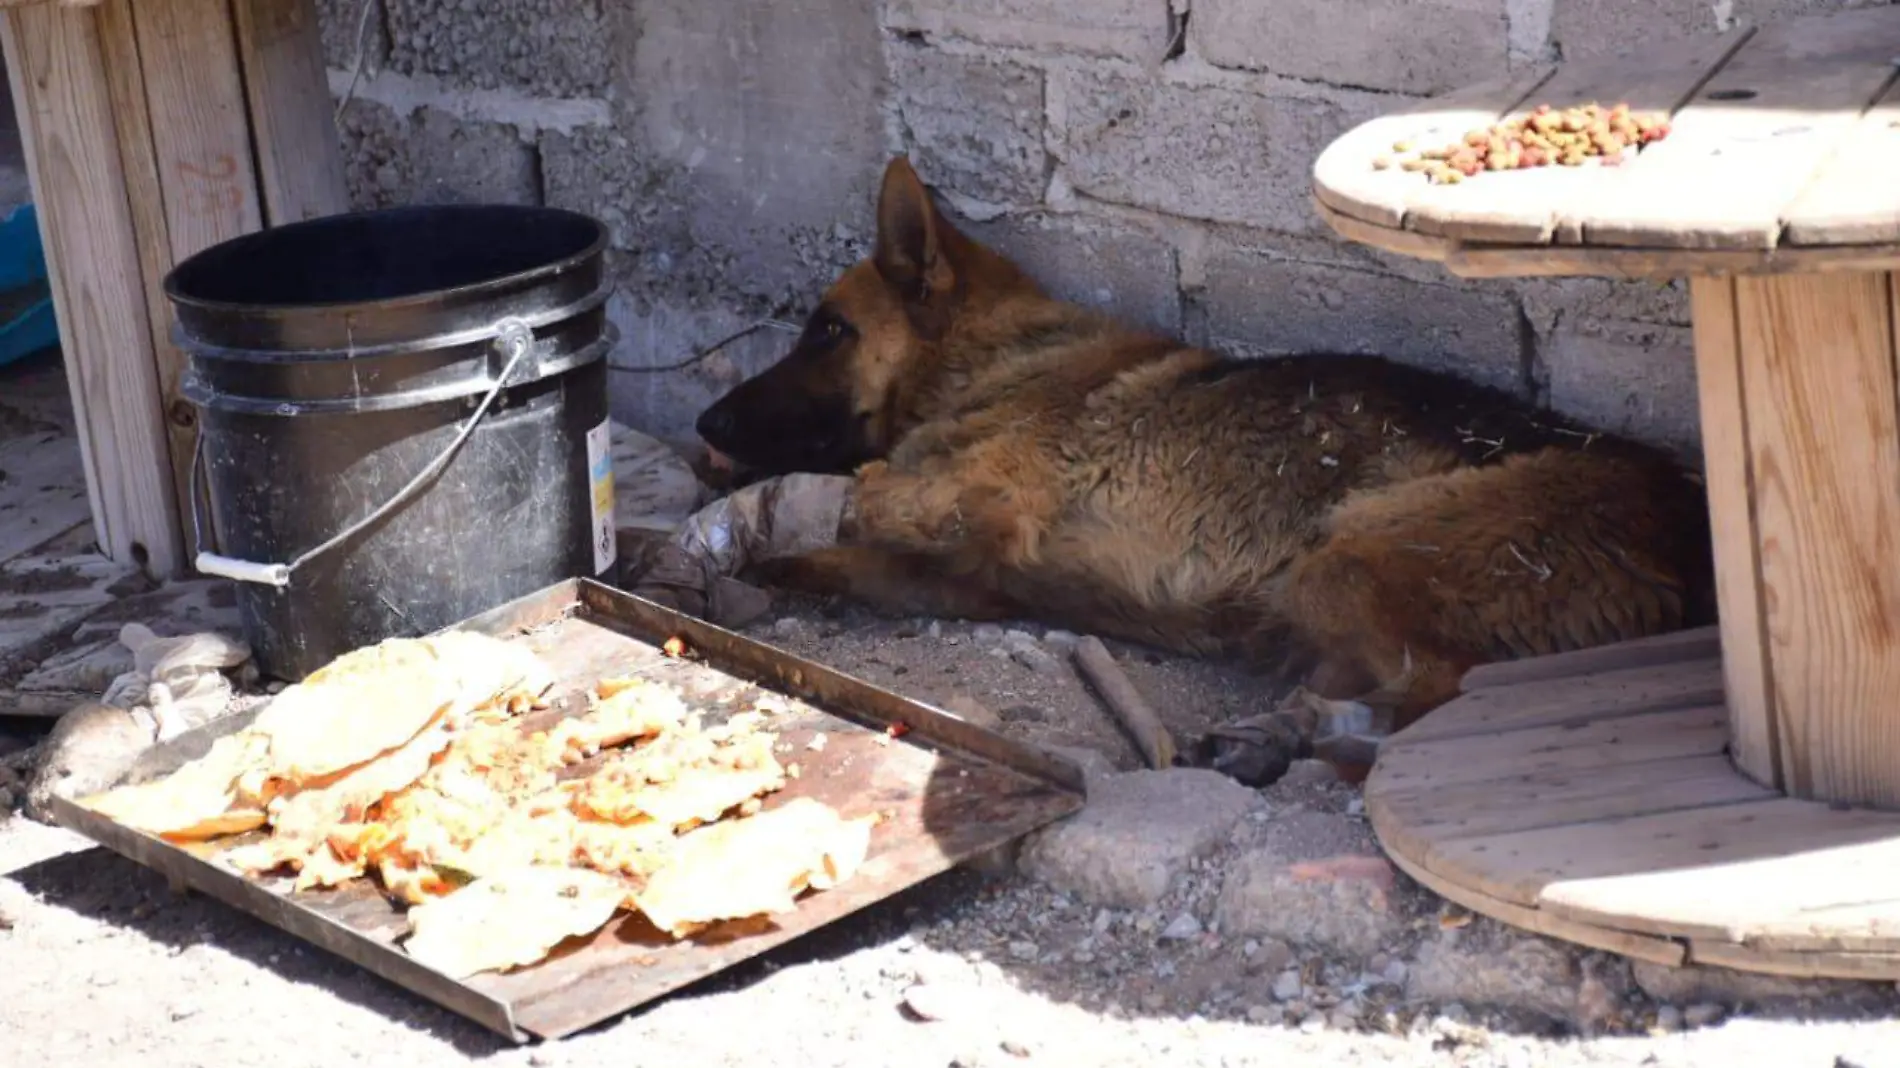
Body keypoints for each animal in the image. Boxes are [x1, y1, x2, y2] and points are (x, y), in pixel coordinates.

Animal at [691, 155, 1717, 729]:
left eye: (827, 331)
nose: (705, 424)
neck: (996, 360)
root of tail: (1688, 525)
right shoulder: (958, 578)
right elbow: (837, 556)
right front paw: (750, 561)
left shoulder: (973, 501)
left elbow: (854, 490)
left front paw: (749, 522)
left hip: (1349, 553)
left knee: (1446, 689)